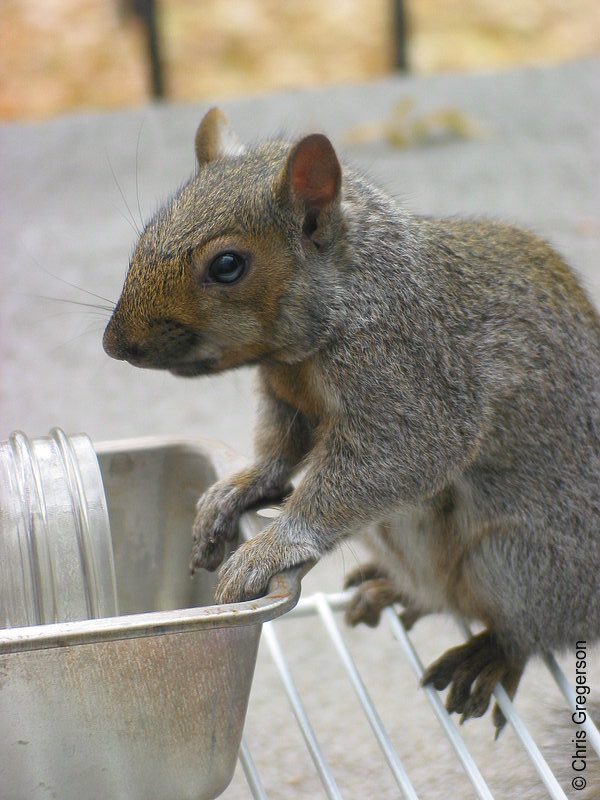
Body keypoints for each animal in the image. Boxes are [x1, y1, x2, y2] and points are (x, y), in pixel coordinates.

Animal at [103, 109, 600, 736]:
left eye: (227, 265)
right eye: (148, 231)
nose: (114, 345)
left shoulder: (412, 377)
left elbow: (399, 457)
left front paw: (271, 547)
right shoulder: (285, 397)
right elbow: (276, 452)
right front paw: (234, 492)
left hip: (518, 562)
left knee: (526, 634)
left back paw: (488, 654)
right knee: (442, 596)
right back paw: (398, 591)